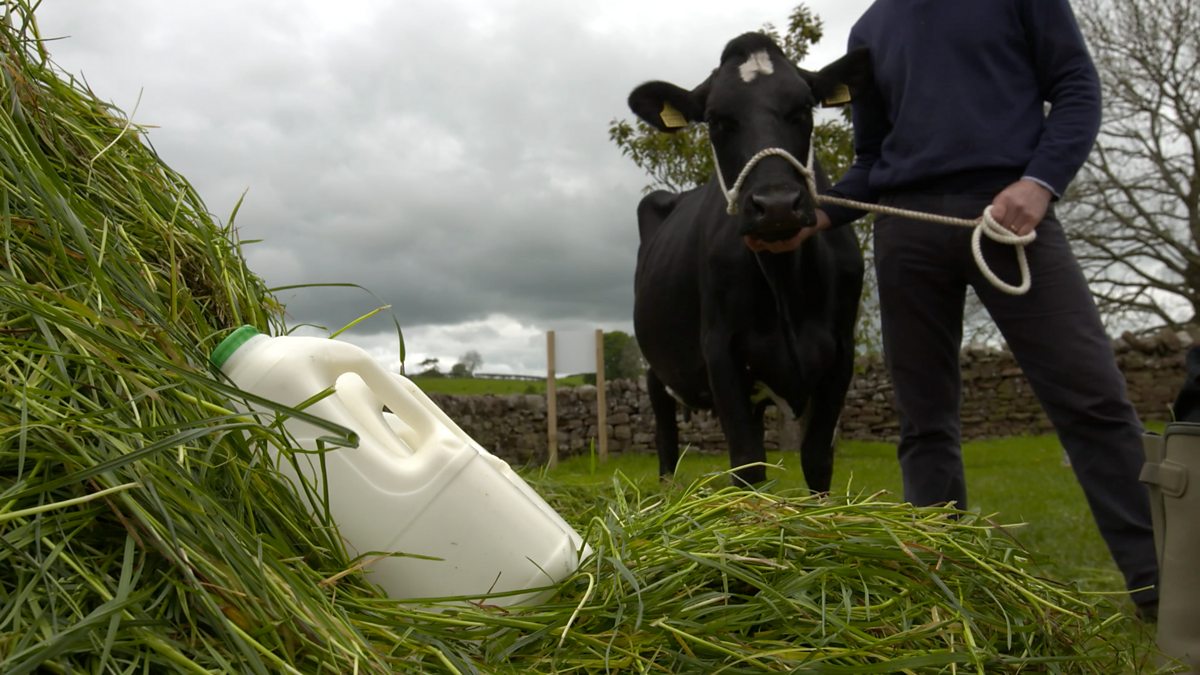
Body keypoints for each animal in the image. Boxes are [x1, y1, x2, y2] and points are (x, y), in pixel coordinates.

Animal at [627, 33, 870, 491]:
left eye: (803, 107)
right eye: (716, 119)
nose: (776, 205)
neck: (786, 284)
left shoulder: (841, 351)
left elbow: (817, 459)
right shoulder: (720, 349)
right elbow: (746, 462)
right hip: (655, 368)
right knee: (666, 442)